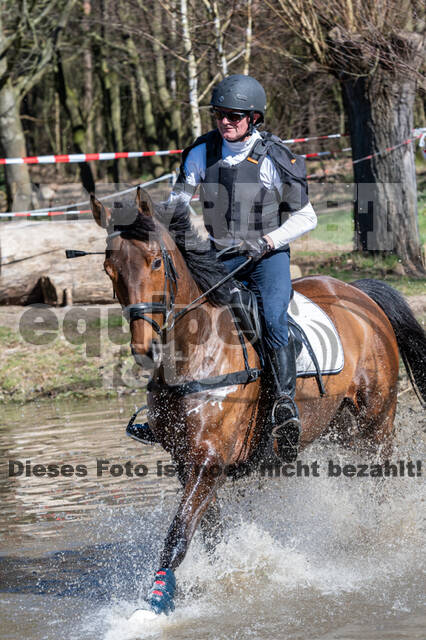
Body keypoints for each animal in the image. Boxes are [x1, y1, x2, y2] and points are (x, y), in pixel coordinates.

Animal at [88, 189, 424, 616]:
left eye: (157, 261)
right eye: (109, 269)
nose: (143, 348)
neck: (197, 349)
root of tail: (360, 293)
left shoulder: (209, 460)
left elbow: (178, 533)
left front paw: (157, 602)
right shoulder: (184, 460)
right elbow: (209, 532)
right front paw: (223, 576)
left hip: (375, 423)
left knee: (382, 482)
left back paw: (383, 541)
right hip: (342, 427)